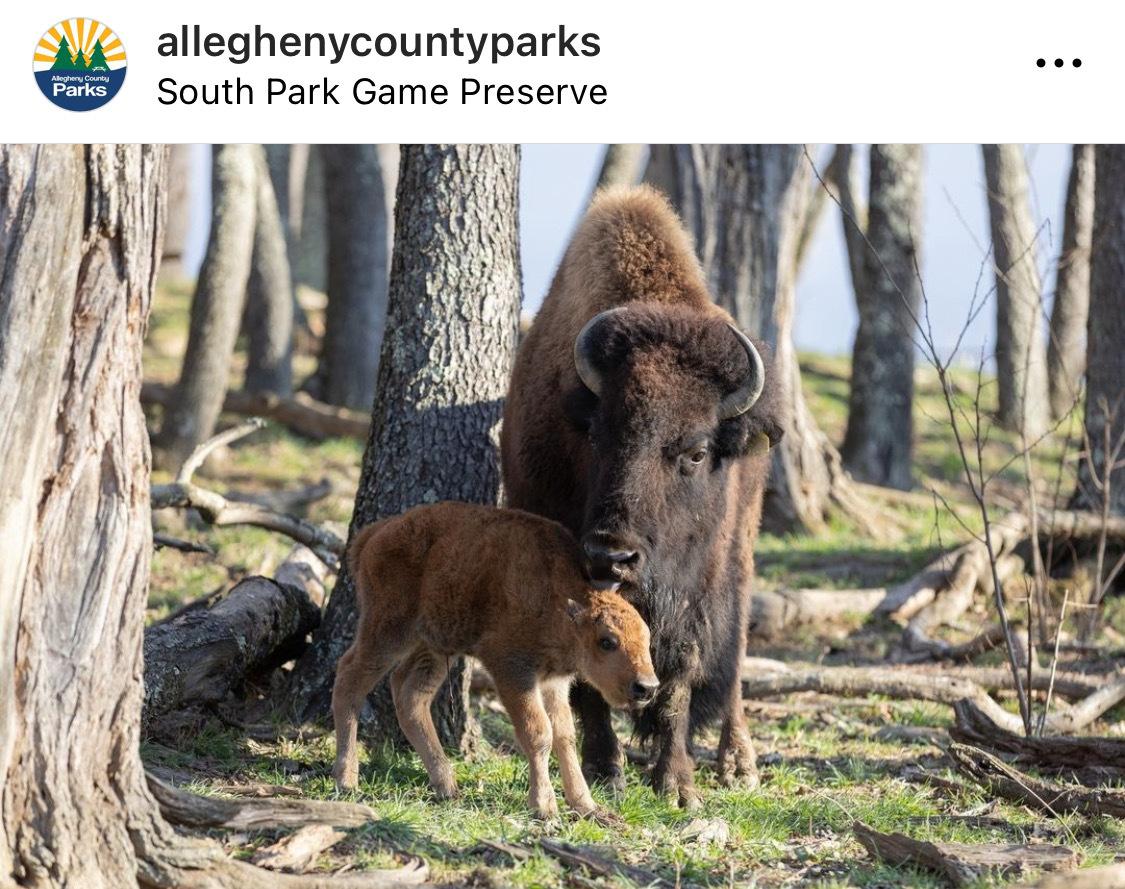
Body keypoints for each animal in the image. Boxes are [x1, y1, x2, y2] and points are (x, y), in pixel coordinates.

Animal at [501, 185, 784, 807]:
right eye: (596, 435)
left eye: (697, 452)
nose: (611, 555)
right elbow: (587, 679)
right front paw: (606, 770)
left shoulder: (696, 596)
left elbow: (679, 679)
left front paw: (677, 786)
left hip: (742, 558)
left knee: (735, 657)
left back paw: (739, 764)